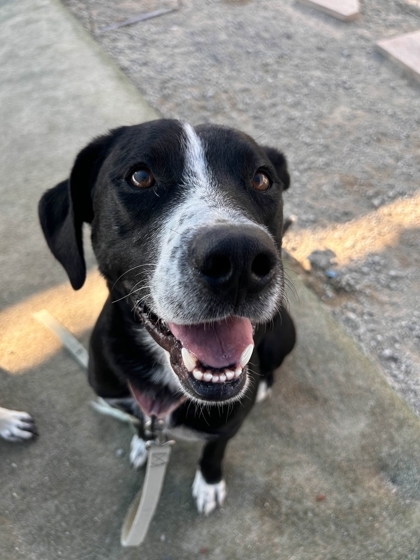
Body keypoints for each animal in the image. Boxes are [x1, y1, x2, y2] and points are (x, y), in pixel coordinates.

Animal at [38, 120, 296, 516]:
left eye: (261, 179)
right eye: (140, 176)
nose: (239, 256)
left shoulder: (229, 424)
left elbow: (214, 450)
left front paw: (208, 484)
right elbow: (139, 425)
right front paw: (142, 445)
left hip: (284, 333)